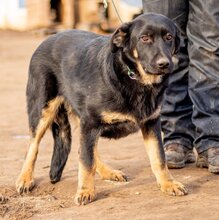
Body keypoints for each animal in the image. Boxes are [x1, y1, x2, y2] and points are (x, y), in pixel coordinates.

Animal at [15, 12, 186, 205]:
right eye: (145, 38)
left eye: (169, 37)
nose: (164, 64)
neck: (135, 79)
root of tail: (48, 39)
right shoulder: (90, 123)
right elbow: (87, 162)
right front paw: (85, 191)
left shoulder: (151, 124)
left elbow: (159, 158)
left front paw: (168, 183)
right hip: (42, 110)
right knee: (33, 146)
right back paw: (25, 179)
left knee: (85, 150)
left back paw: (108, 172)